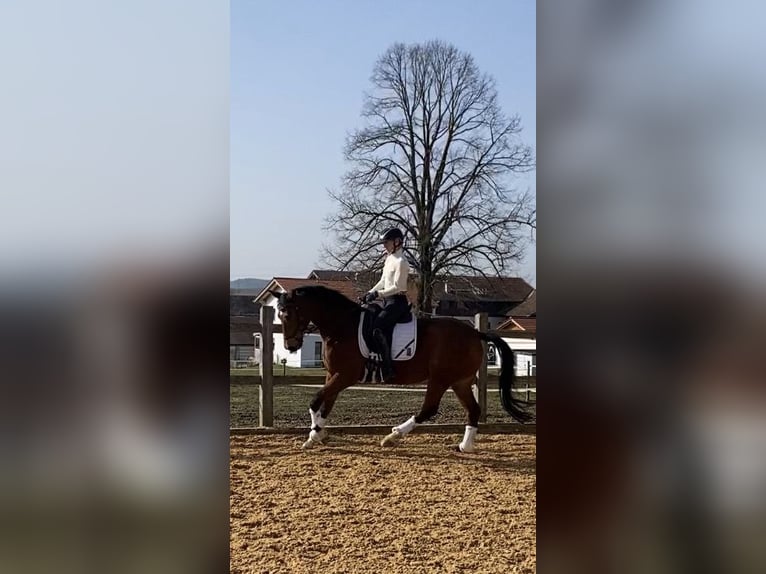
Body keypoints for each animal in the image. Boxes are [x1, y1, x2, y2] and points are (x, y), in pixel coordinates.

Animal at [269, 285, 532, 452]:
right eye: (279, 315)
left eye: (288, 314)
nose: (290, 346)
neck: (342, 326)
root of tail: (475, 332)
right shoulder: (332, 374)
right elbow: (326, 404)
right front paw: (319, 434)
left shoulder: (345, 375)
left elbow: (316, 401)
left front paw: (314, 435)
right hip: (460, 381)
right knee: (473, 410)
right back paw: (464, 446)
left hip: (440, 378)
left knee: (429, 409)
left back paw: (393, 436)